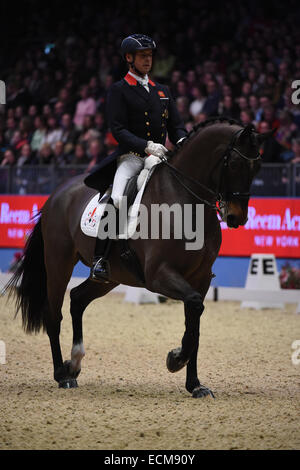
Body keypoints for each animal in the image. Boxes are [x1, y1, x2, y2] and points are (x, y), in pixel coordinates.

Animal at [5, 116, 268, 396]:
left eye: (259, 166)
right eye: (236, 164)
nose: (237, 217)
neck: (185, 202)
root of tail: (57, 194)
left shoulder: (201, 278)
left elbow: (194, 322)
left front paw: (195, 384)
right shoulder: (159, 275)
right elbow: (194, 309)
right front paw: (175, 359)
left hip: (110, 277)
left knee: (77, 298)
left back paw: (74, 364)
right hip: (58, 263)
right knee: (53, 315)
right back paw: (61, 375)